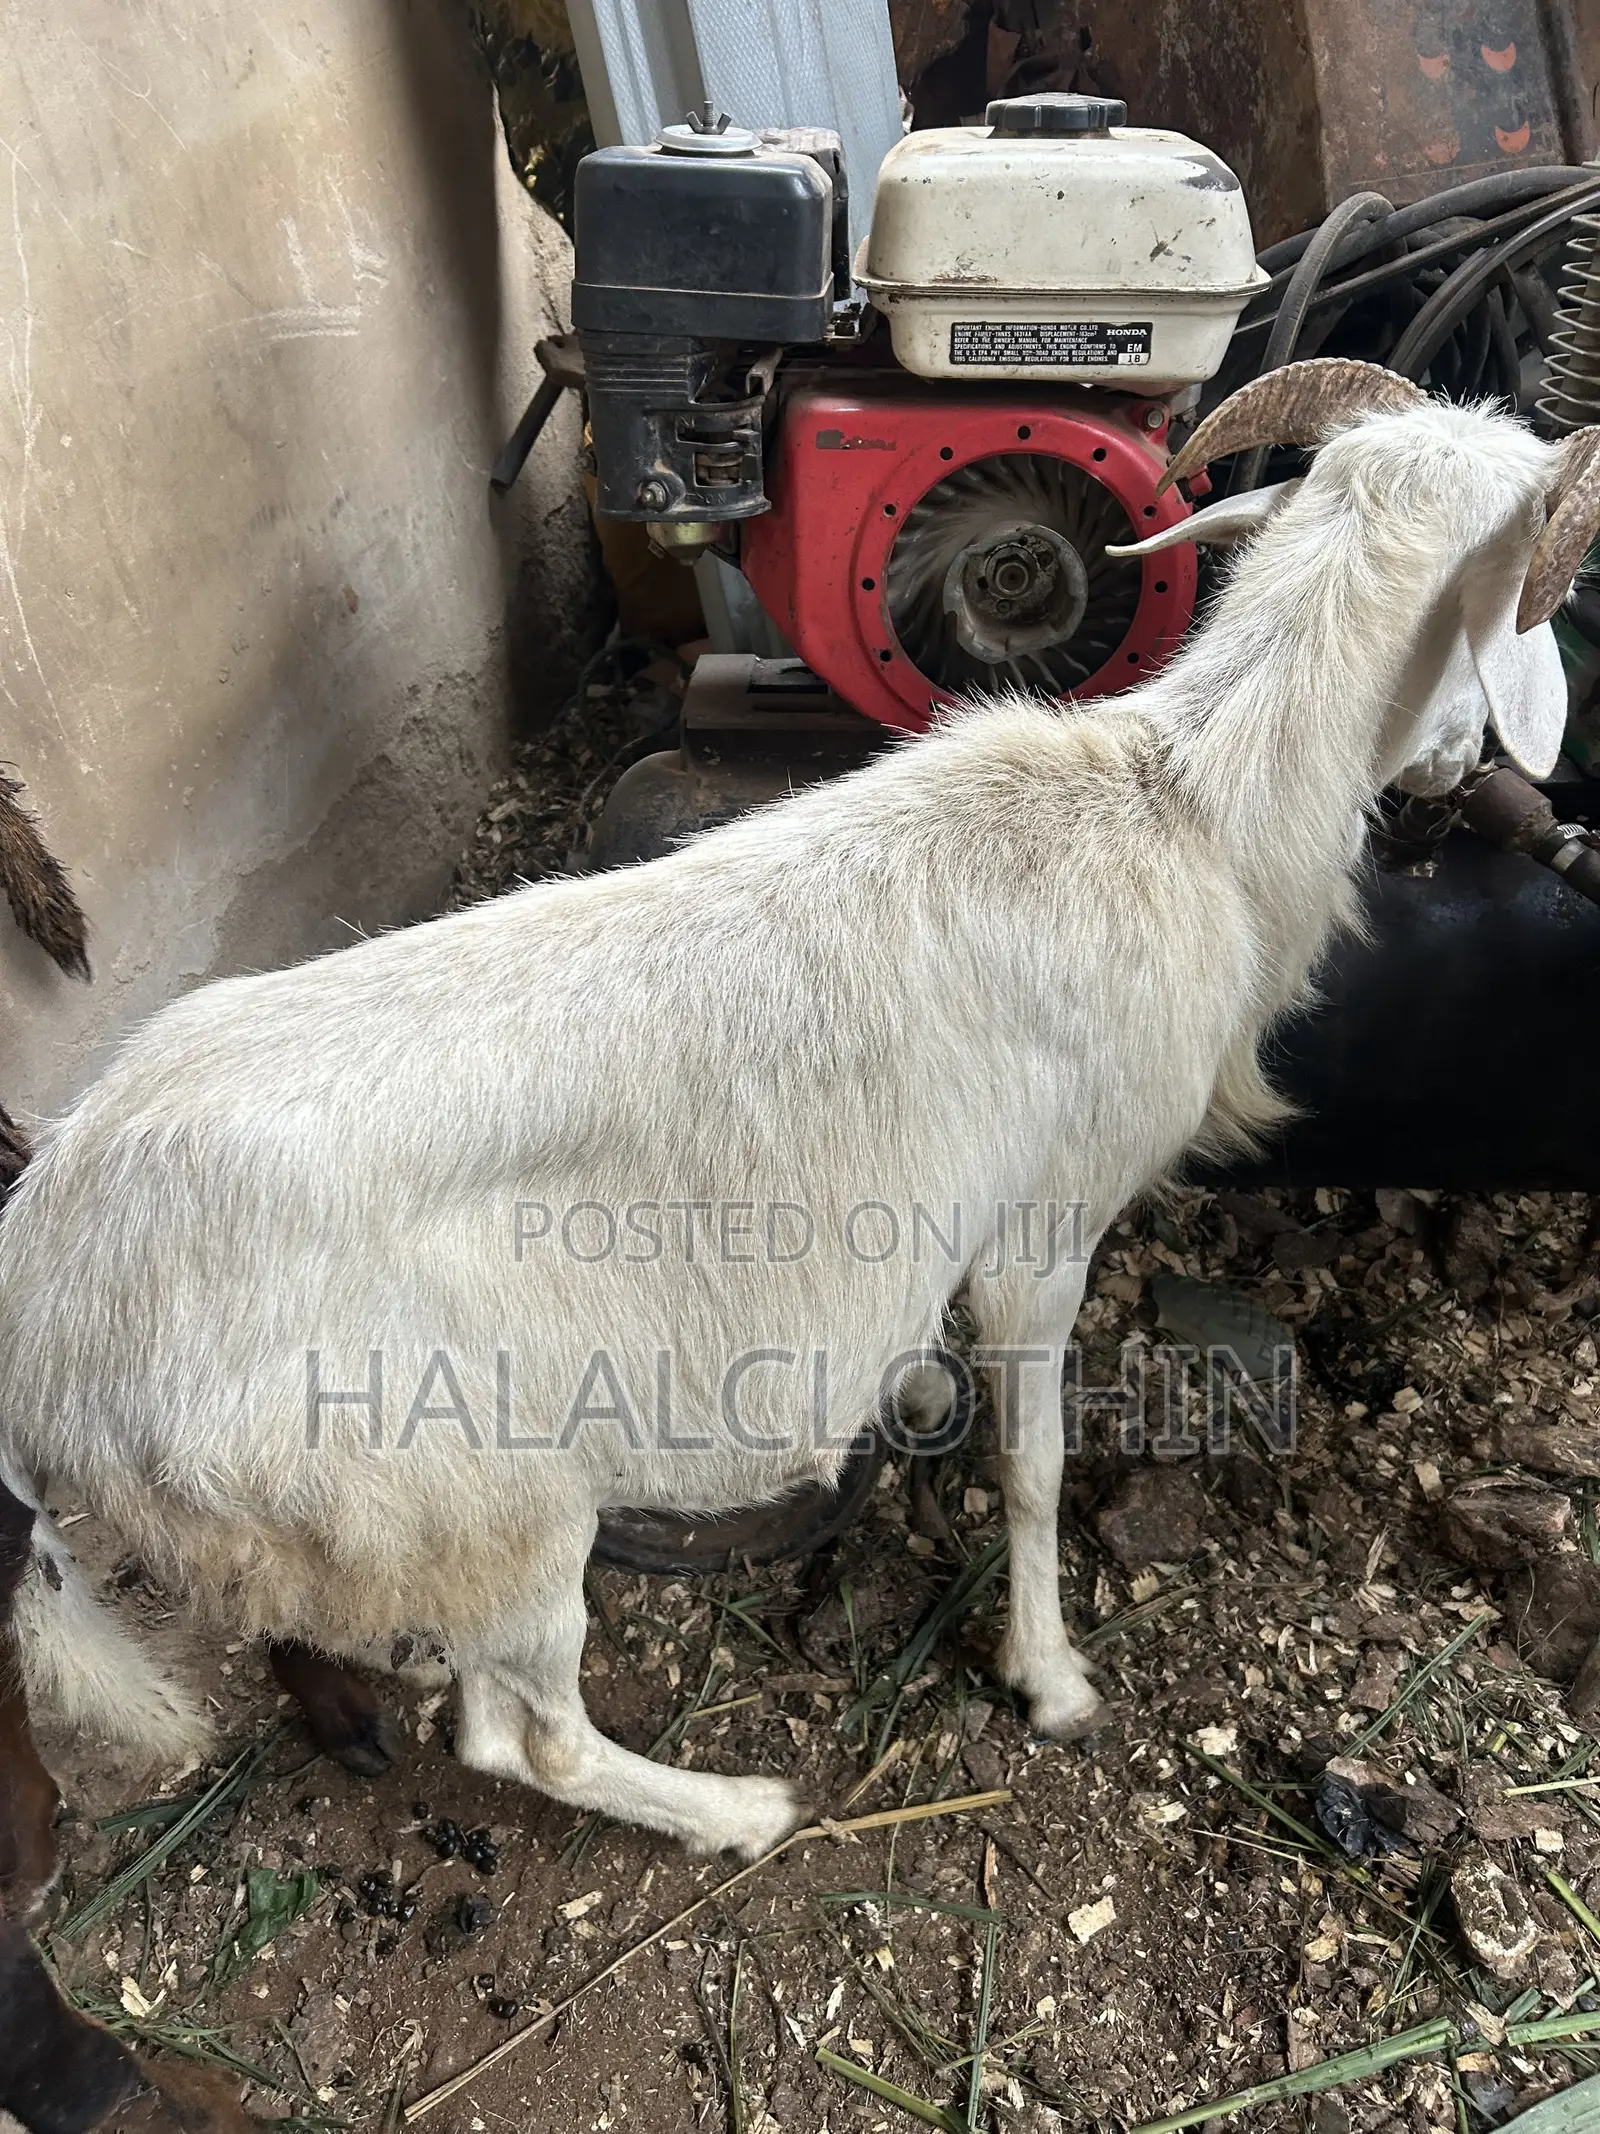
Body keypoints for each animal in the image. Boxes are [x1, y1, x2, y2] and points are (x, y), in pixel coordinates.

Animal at [0, 360, 1595, 1870]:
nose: (1470, 779)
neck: (1191, 806)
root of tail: (50, 1311)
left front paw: (920, 1403)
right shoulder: (1045, 1217)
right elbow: (1035, 1464)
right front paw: (1050, 1675)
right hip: (471, 1503)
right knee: (524, 1740)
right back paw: (735, 1810)